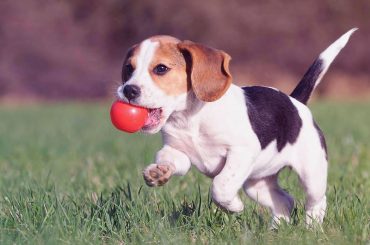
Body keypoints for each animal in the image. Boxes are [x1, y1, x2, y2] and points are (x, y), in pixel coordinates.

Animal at [117, 28, 356, 226]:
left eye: (161, 68)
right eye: (129, 68)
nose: (128, 90)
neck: (189, 118)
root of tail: (295, 102)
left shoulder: (241, 152)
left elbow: (220, 185)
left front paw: (234, 207)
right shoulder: (177, 151)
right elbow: (168, 158)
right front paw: (159, 172)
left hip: (311, 174)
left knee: (317, 201)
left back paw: (312, 228)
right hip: (257, 184)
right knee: (285, 201)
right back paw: (276, 230)